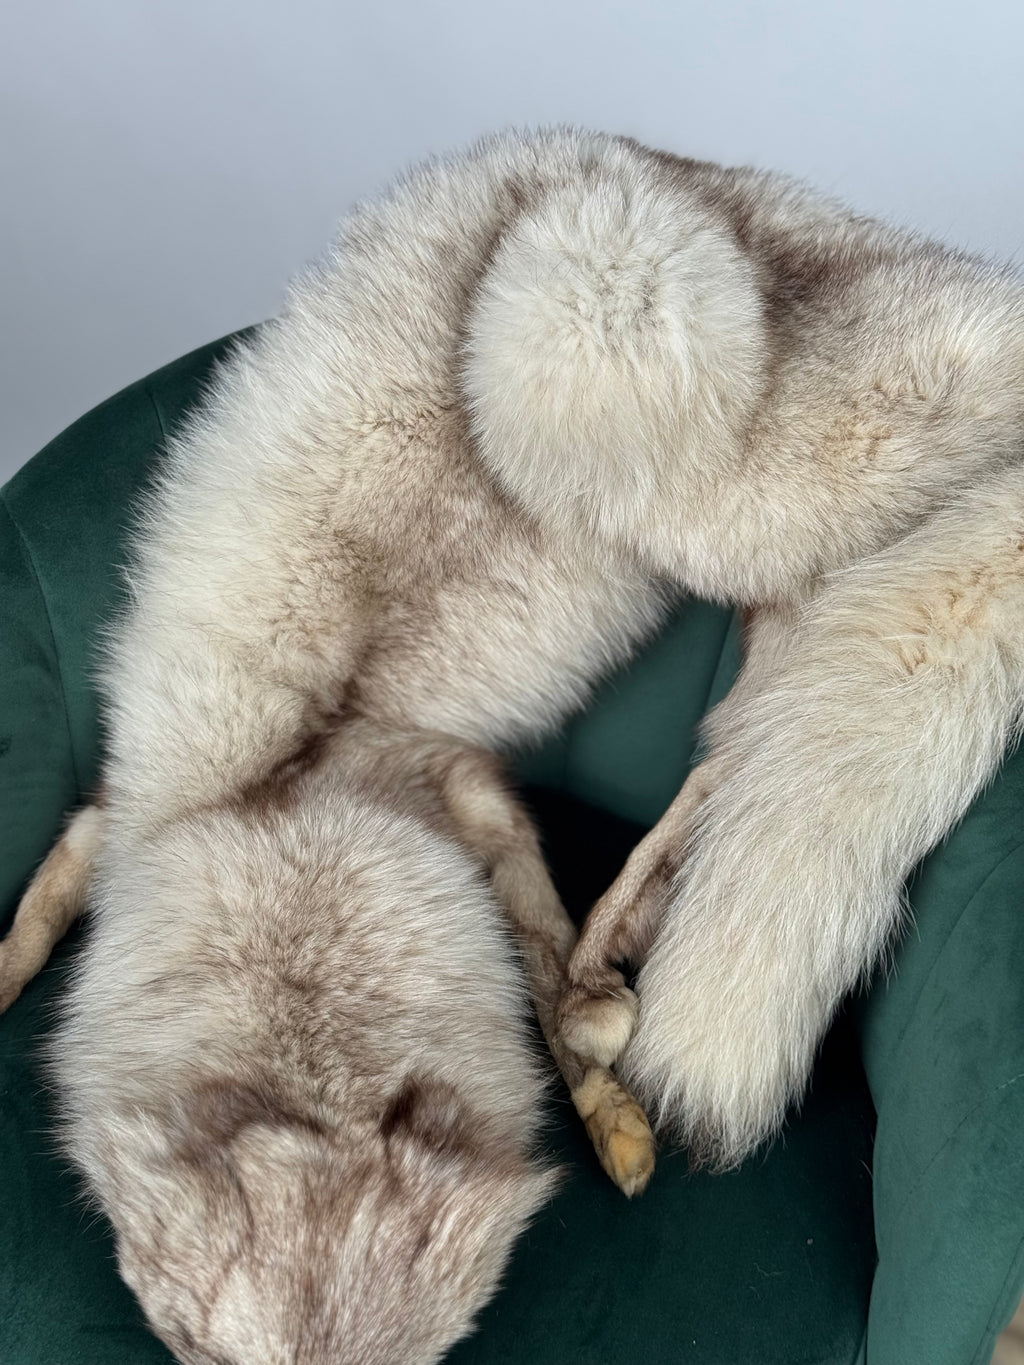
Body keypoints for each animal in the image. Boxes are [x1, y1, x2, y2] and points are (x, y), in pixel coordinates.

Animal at [1, 125, 1023, 1363]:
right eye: (206, 1354)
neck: (286, 795)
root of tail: (663, 159)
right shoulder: (171, 805)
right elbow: (45, 899)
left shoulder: (443, 783)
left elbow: (531, 946)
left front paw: (599, 1096)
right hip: (758, 546)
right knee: (765, 695)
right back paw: (627, 926)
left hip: (615, 341)